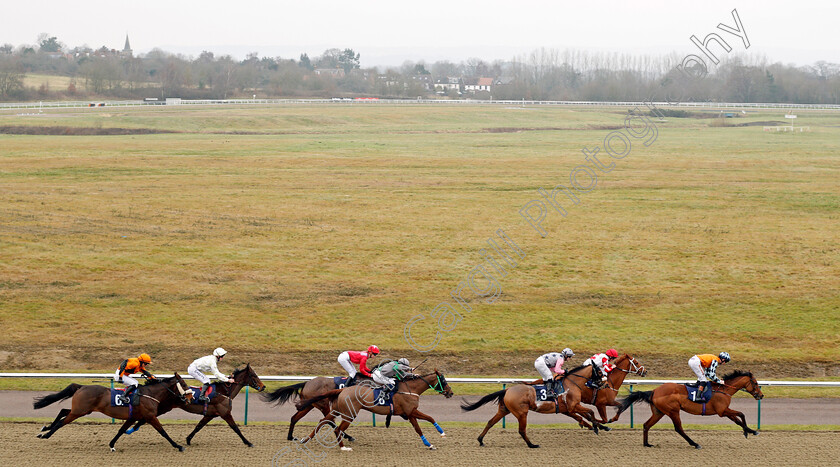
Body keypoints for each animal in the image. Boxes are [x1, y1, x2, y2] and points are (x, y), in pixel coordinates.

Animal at [33, 374, 193, 452]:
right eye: (184, 384)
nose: (190, 397)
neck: (150, 394)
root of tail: (82, 386)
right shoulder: (150, 416)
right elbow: (163, 432)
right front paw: (178, 446)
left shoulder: (133, 417)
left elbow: (121, 430)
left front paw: (111, 445)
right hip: (79, 411)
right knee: (62, 422)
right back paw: (46, 434)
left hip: (81, 410)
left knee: (63, 411)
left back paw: (45, 428)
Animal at [121, 364, 264, 448]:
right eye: (254, 375)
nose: (263, 386)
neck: (224, 391)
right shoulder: (225, 413)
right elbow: (236, 428)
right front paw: (248, 442)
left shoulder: (210, 414)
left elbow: (198, 426)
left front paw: (188, 439)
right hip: (163, 407)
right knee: (145, 419)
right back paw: (130, 430)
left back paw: (129, 429)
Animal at [296, 372, 452, 452]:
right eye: (444, 381)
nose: (451, 393)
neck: (410, 389)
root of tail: (343, 389)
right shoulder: (411, 411)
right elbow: (426, 421)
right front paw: (439, 435)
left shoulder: (410, 413)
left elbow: (423, 425)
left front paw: (432, 442)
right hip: (349, 414)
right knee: (337, 428)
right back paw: (343, 447)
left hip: (336, 410)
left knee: (323, 421)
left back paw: (305, 439)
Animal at [460, 364, 604, 448]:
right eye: (599, 371)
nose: (603, 383)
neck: (571, 384)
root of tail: (508, 390)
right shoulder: (573, 406)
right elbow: (590, 412)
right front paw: (596, 427)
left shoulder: (569, 408)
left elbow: (587, 414)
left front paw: (598, 426)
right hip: (522, 413)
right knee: (521, 430)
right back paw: (532, 445)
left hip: (504, 410)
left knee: (490, 422)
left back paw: (480, 440)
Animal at [612, 370, 764, 450]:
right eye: (755, 383)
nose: (761, 395)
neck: (724, 390)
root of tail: (654, 391)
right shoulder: (722, 411)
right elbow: (741, 414)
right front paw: (750, 431)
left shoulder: (725, 411)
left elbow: (738, 419)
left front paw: (749, 431)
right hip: (673, 411)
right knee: (679, 428)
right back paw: (695, 444)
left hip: (659, 412)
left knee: (646, 425)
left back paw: (647, 444)